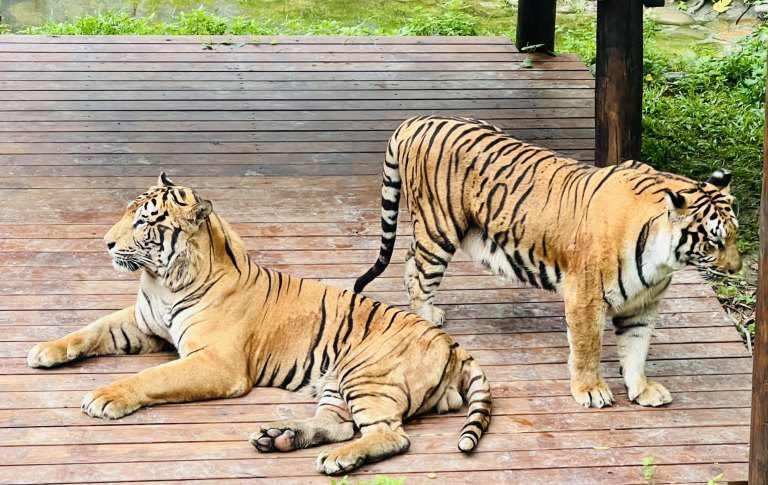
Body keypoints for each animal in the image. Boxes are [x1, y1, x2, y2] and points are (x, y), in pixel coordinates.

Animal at [27, 173, 491, 475]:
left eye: (144, 220)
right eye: (128, 211)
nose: (105, 242)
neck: (162, 281)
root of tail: (453, 344)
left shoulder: (216, 363)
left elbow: (153, 377)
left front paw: (105, 396)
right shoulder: (142, 322)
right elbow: (91, 328)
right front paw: (45, 350)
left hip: (366, 374)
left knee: (391, 435)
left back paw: (336, 460)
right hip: (334, 381)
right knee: (338, 424)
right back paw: (279, 436)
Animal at [354, 116, 741, 410]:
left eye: (736, 235)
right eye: (714, 241)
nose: (736, 270)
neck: (662, 260)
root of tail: (418, 120)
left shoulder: (642, 305)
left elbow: (637, 349)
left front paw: (642, 388)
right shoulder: (585, 295)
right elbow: (588, 348)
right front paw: (590, 390)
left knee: (410, 263)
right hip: (439, 229)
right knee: (421, 276)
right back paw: (426, 321)